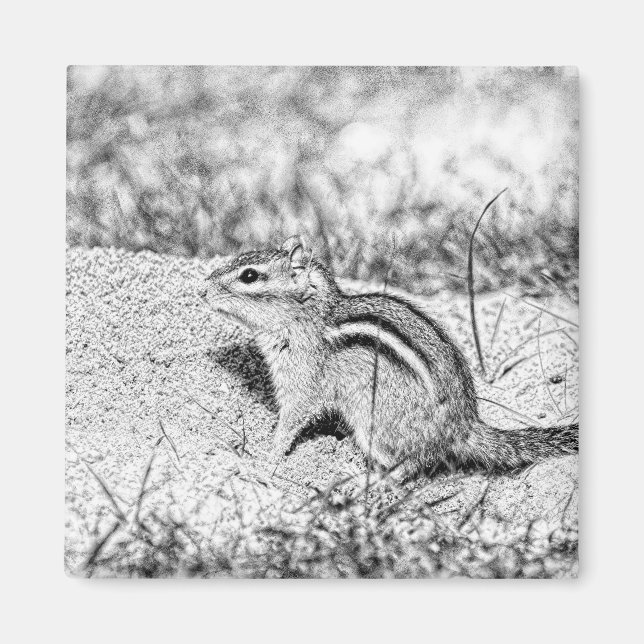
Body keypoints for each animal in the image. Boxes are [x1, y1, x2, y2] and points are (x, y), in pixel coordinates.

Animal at [202, 236, 578, 479]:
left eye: (249, 275)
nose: (203, 290)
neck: (309, 316)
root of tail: (463, 427)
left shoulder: (301, 380)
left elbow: (292, 419)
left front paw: (266, 457)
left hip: (374, 425)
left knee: (408, 468)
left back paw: (361, 480)